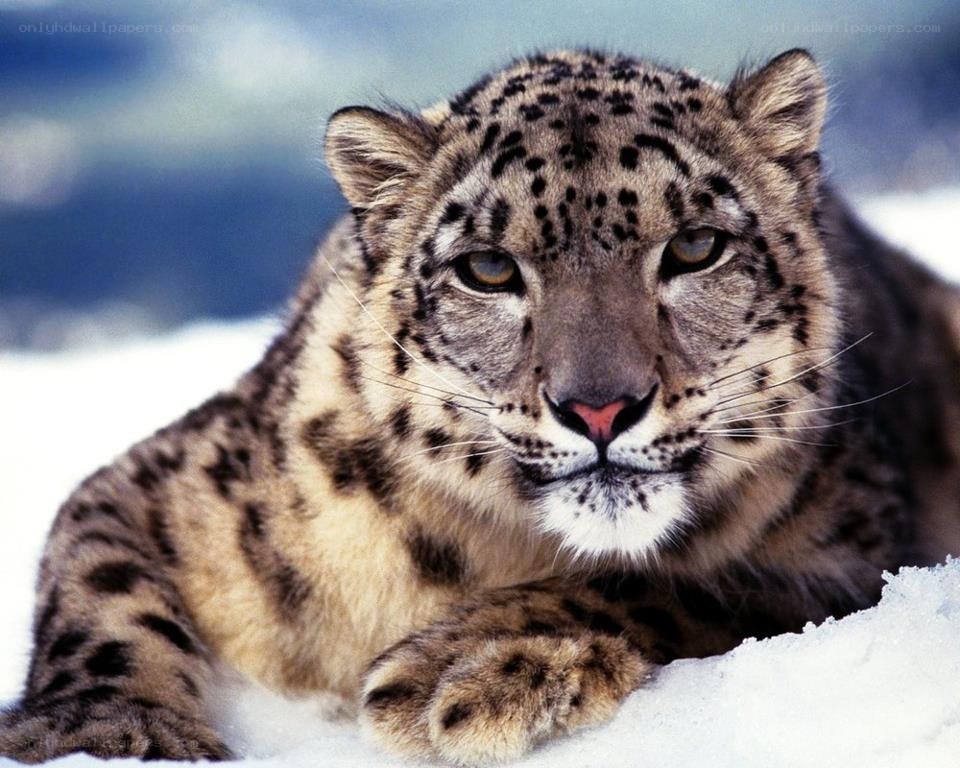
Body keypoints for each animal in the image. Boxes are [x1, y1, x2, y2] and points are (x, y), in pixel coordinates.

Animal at [2, 47, 959, 766]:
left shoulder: (853, 551)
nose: (600, 407)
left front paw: (464, 668)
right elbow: (102, 587)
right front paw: (110, 734)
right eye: (489, 268)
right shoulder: (169, 484)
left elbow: (685, 581)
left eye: (695, 247)